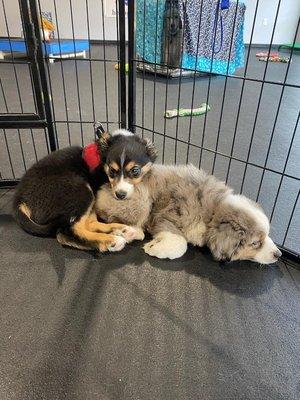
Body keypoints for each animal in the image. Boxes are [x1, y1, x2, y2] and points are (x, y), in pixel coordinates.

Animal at [12, 130, 156, 252]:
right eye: (111, 170)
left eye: (135, 170)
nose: (120, 195)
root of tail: (20, 198)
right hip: (81, 190)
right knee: (66, 232)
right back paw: (111, 241)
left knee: (88, 223)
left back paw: (123, 230)